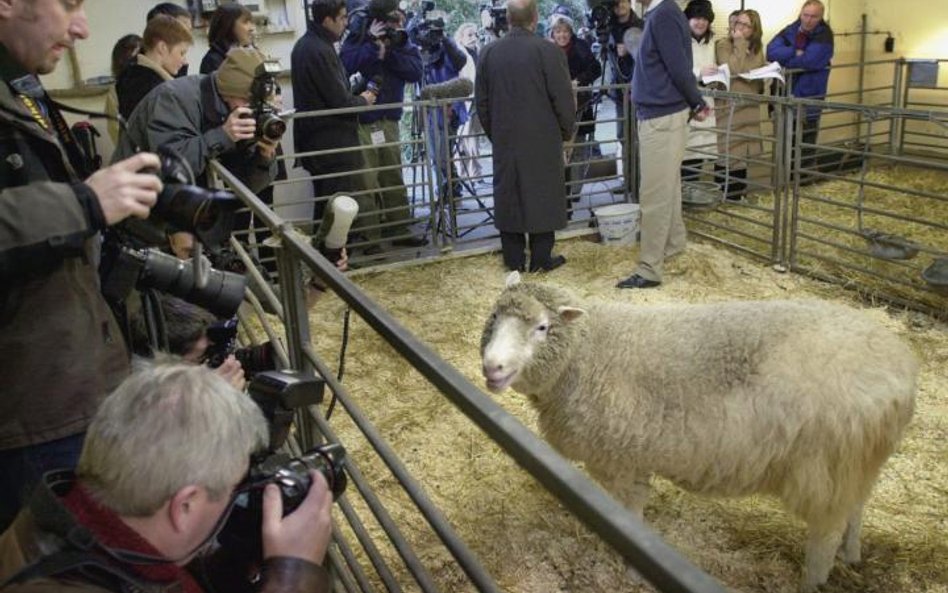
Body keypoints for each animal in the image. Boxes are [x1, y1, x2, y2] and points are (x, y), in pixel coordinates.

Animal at [482, 272, 920, 592]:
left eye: (542, 327)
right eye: (493, 318)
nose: (492, 368)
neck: (586, 355)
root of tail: (901, 369)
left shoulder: (620, 458)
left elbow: (629, 514)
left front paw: (632, 567)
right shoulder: (632, 455)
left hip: (825, 465)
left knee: (824, 536)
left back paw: (813, 581)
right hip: (854, 462)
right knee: (856, 507)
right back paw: (853, 553)